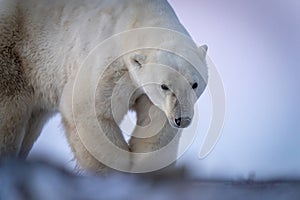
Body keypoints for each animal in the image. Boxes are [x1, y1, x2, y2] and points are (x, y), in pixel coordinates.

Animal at [0, 0, 207, 172]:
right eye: (164, 86)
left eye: (195, 84)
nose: (182, 119)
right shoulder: (109, 65)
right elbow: (88, 110)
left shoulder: (147, 93)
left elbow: (156, 126)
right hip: (14, 55)